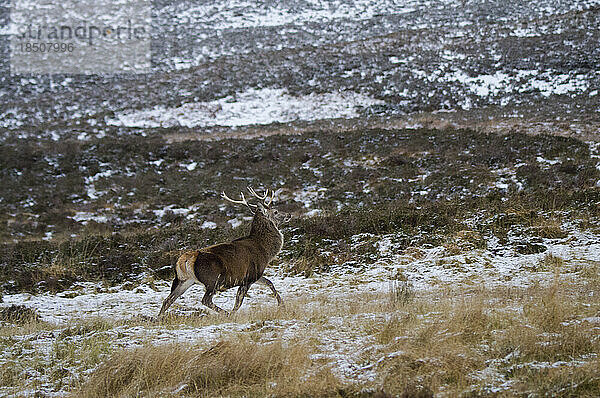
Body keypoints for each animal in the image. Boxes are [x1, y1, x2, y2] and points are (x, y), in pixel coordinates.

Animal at [157, 187, 288, 318]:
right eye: (275, 211)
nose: (289, 214)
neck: (265, 250)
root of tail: (186, 259)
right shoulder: (250, 275)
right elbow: (238, 302)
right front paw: (234, 314)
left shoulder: (256, 275)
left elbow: (269, 283)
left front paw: (281, 304)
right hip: (213, 280)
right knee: (205, 300)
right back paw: (226, 314)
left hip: (184, 280)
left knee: (168, 300)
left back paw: (159, 318)